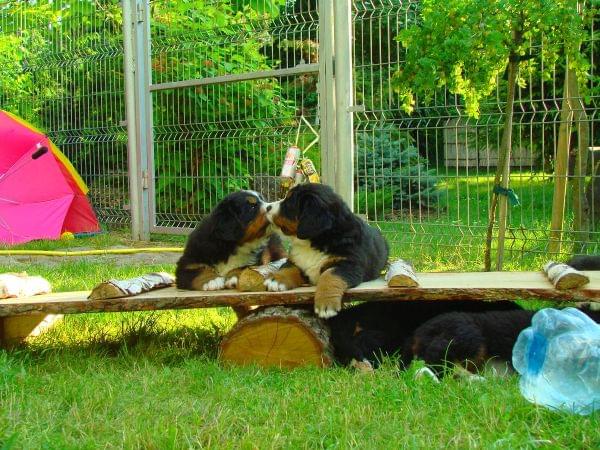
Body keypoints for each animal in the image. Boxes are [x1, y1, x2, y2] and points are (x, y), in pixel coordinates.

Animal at [264, 183, 389, 318]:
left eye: (289, 202)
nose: (267, 207)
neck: (313, 242)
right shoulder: (296, 261)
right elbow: (289, 268)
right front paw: (276, 280)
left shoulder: (349, 265)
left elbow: (329, 276)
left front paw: (326, 304)